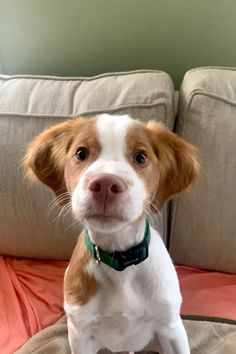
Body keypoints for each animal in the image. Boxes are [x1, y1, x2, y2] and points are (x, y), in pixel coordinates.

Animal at [24, 114, 198, 354]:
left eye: (140, 157)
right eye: (81, 153)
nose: (105, 184)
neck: (120, 263)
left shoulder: (171, 327)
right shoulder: (80, 334)